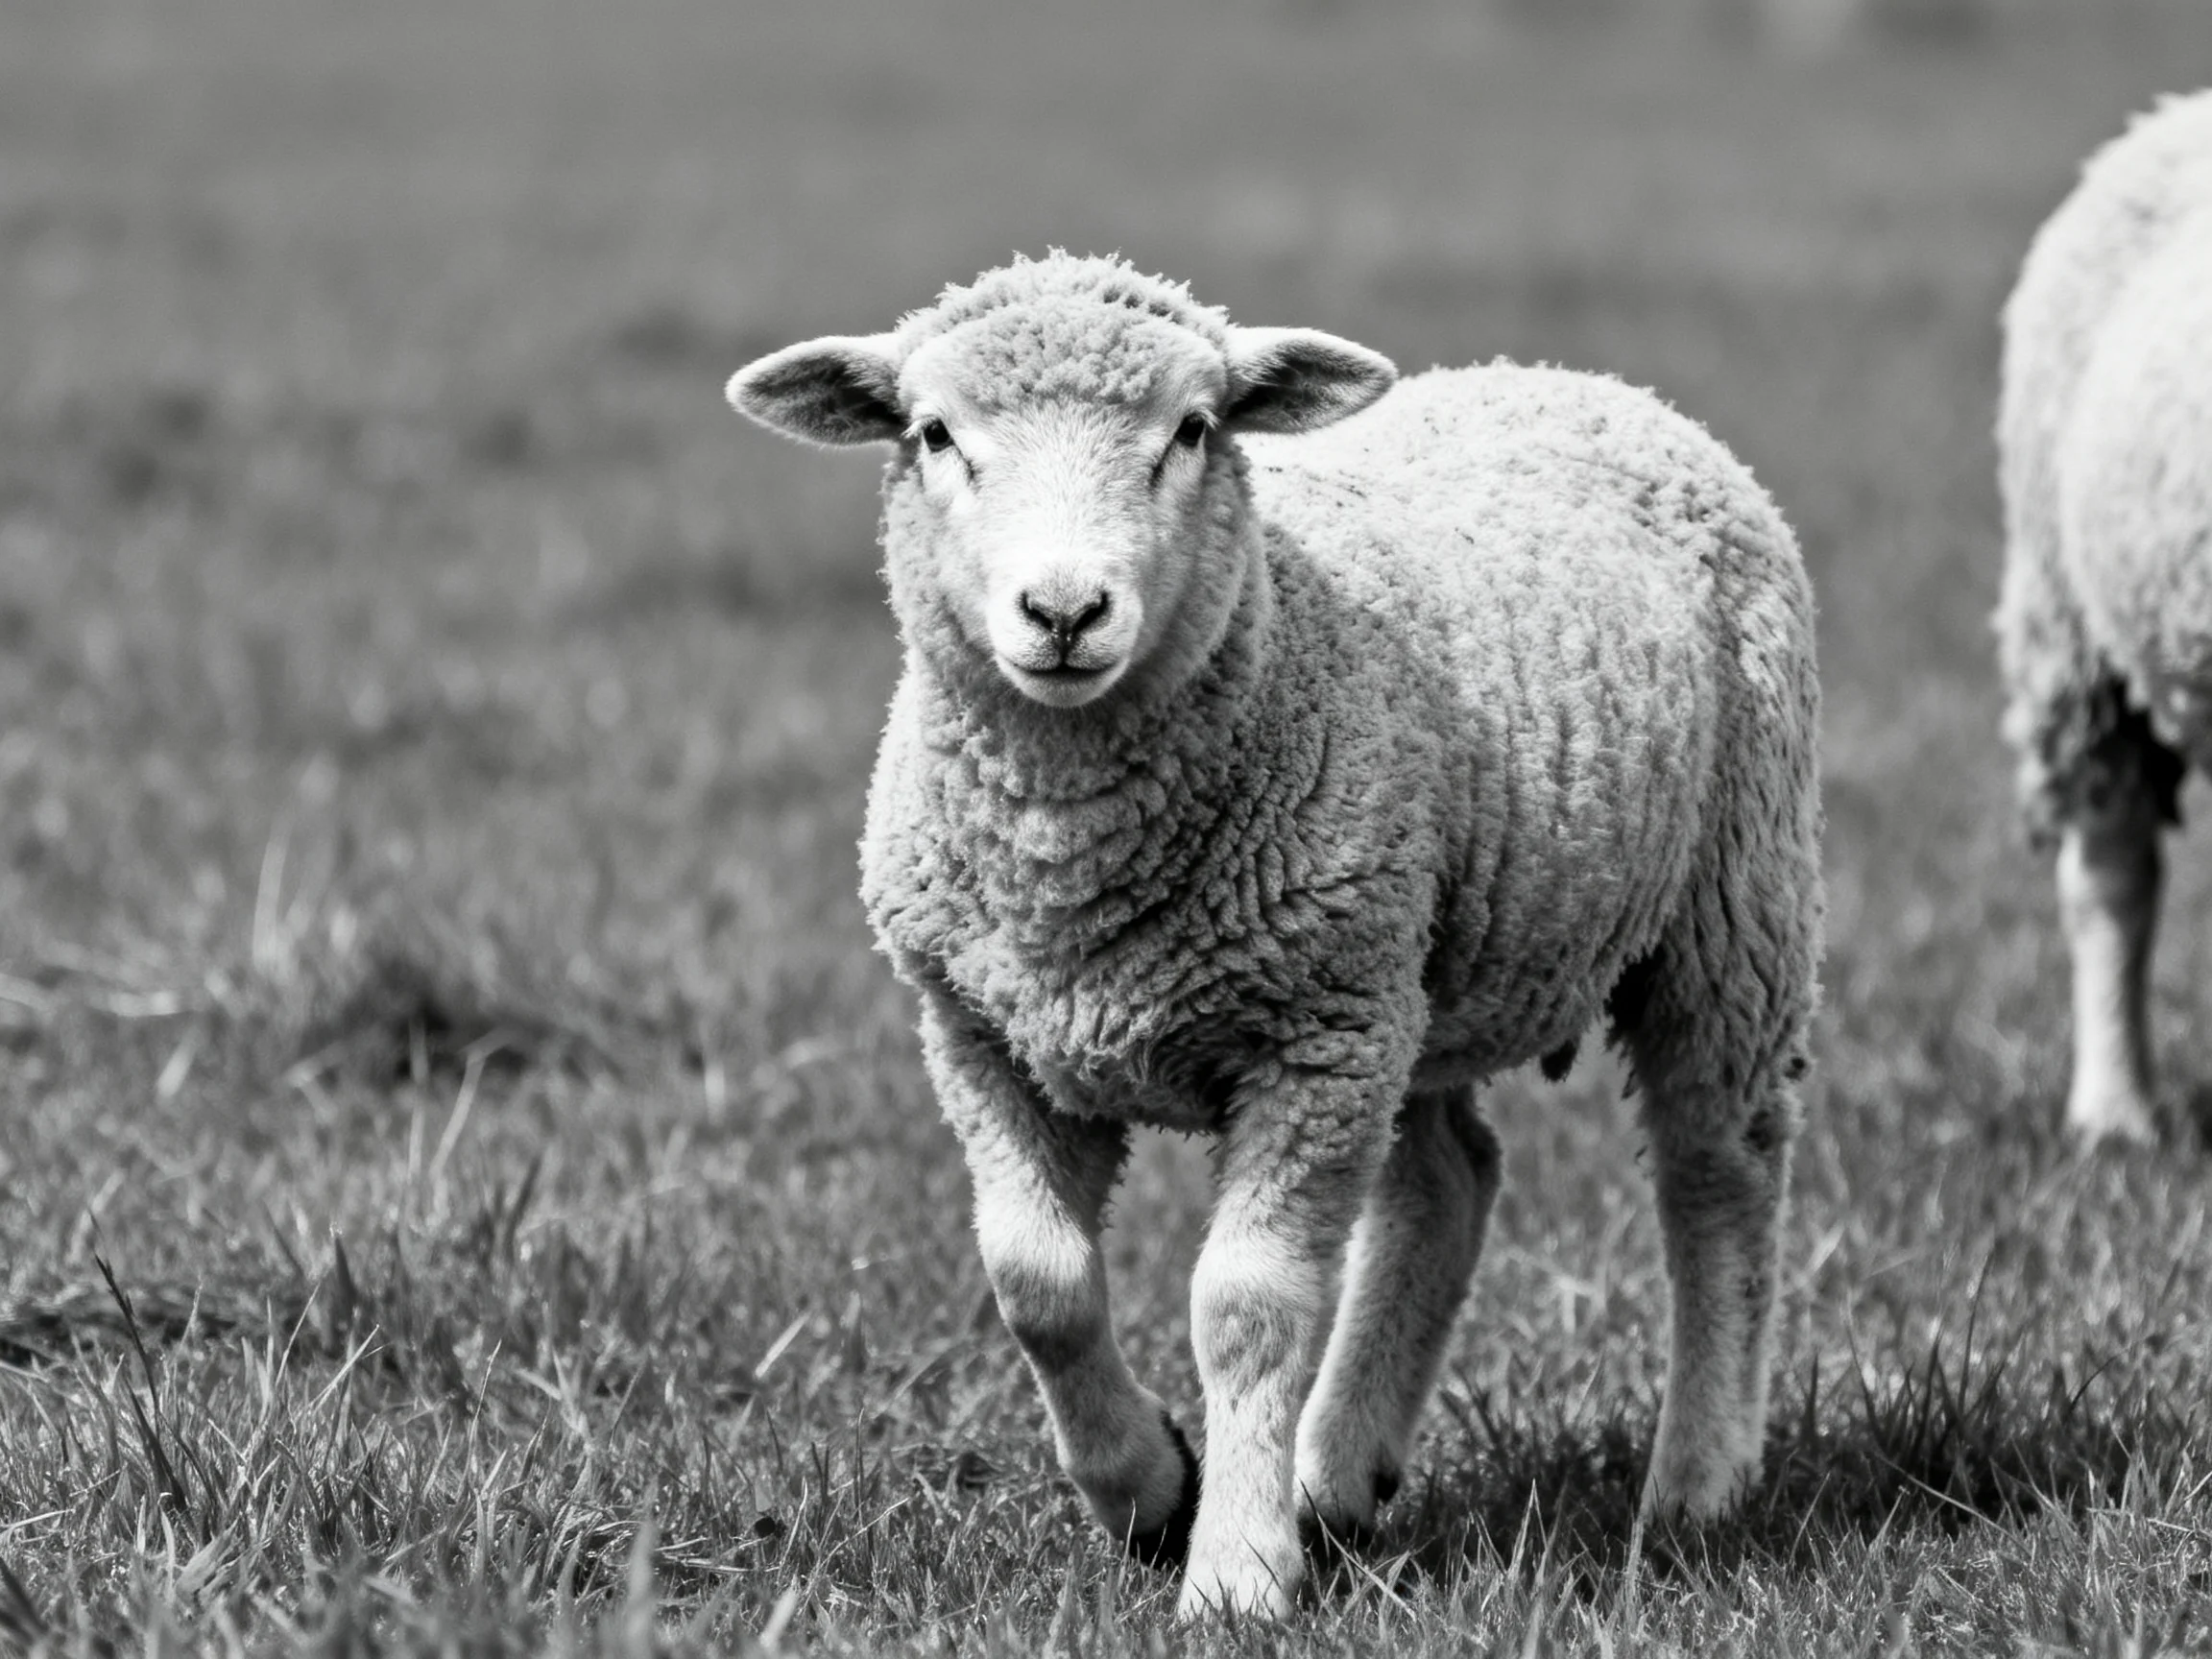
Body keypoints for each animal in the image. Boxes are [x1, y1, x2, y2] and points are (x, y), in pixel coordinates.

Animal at [728, 253, 1823, 1620]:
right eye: (934, 436)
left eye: (1193, 431)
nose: (1064, 610)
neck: (1074, 868)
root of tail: (1581, 380)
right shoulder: (985, 1039)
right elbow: (1037, 1284)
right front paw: (1151, 1492)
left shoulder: (1310, 1043)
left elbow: (1246, 1307)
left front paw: (1234, 1575)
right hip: (1409, 971)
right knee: (1449, 1179)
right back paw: (1339, 1476)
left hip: (1725, 912)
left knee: (1717, 1174)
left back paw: (1694, 1488)